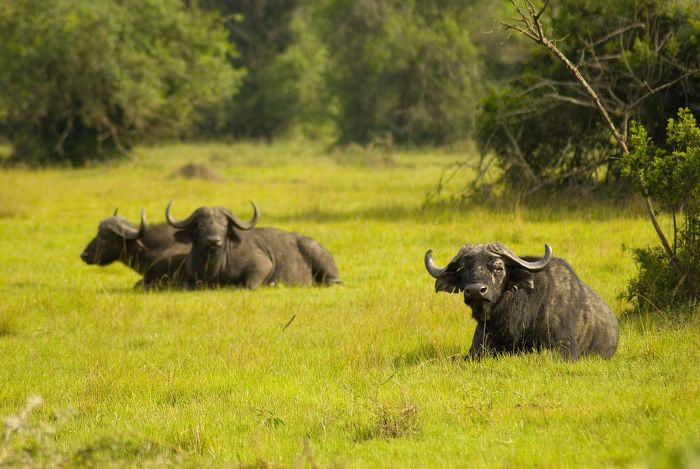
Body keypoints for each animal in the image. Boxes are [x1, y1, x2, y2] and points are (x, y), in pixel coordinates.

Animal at [162, 201, 342, 288]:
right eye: (201, 225)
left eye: (224, 225)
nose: (214, 241)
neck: (213, 268)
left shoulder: (263, 265)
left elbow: (249, 284)